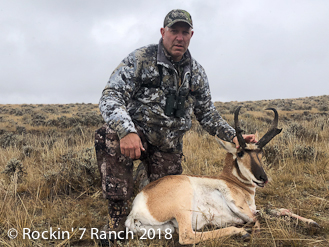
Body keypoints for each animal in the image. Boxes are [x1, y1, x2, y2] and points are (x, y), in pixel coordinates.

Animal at [125, 106, 318, 245]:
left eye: (260, 152)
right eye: (240, 153)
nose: (263, 178)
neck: (231, 181)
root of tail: (136, 207)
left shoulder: (253, 207)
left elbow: (277, 210)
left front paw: (312, 222)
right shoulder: (240, 205)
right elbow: (258, 219)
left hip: (169, 227)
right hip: (184, 205)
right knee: (187, 236)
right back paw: (241, 232)